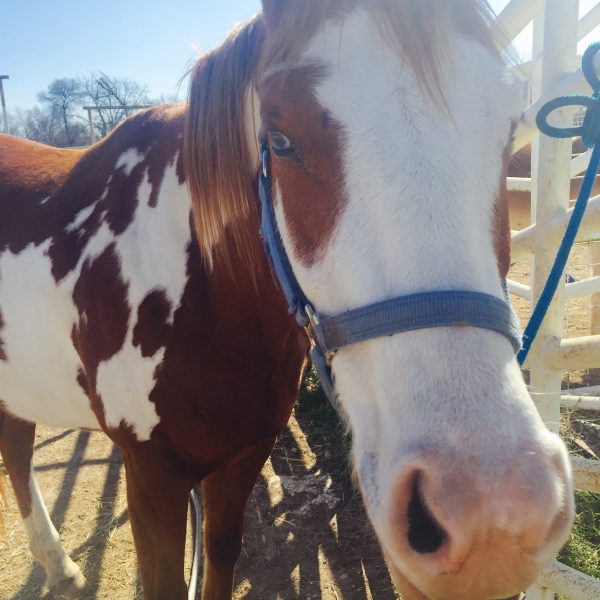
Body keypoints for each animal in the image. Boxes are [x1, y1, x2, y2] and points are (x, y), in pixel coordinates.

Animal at [0, 1, 576, 600]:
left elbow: (220, 557)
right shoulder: (150, 474)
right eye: (277, 138)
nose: (492, 519)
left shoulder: (243, 456)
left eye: (511, 121)